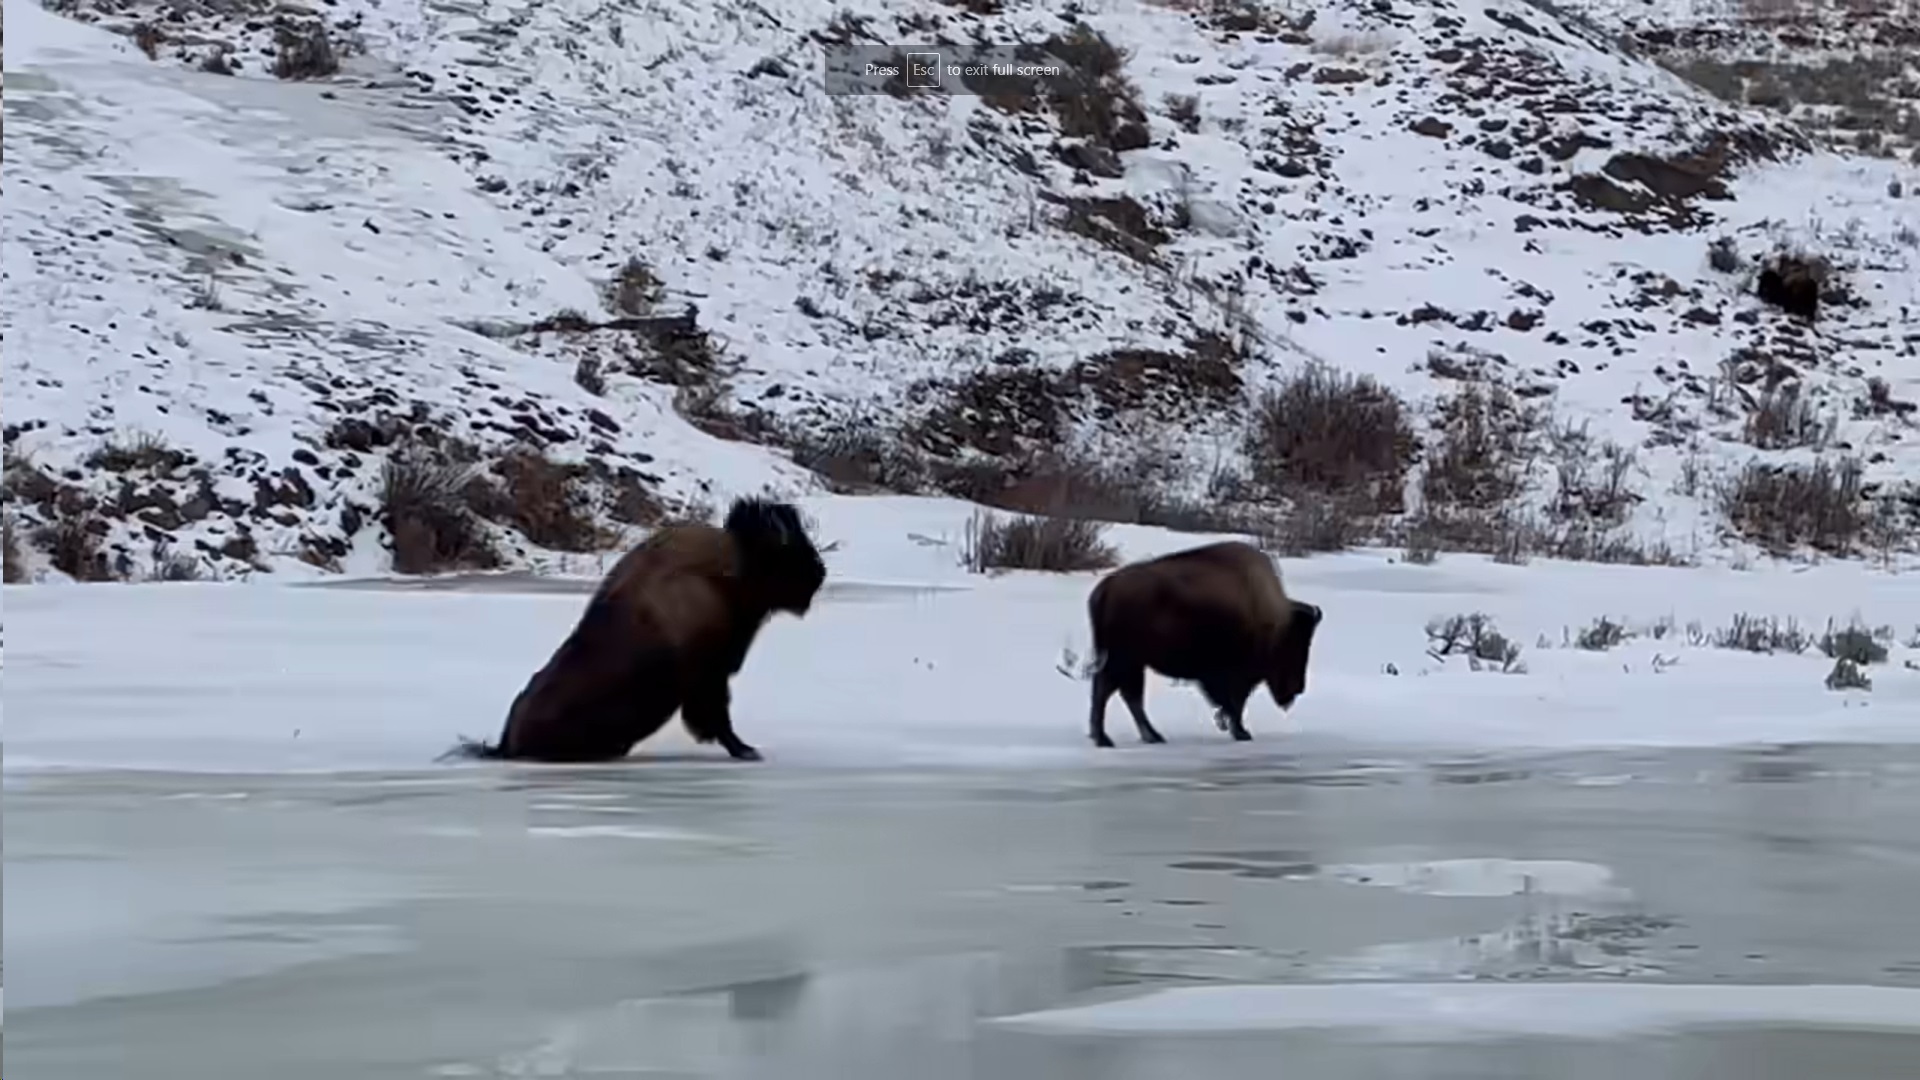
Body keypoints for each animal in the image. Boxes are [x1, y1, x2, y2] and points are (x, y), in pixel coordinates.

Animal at [445, 497, 827, 763]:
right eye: (790, 551)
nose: (819, 572)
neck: (732, 569)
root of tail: (505, 743)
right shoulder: (709, 677)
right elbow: (717, 718)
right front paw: (746, 751)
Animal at [1083, 540, 1321, 748]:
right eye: (1295, 644)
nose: (1298, 688)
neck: (1274, 621)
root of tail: (1106, 588)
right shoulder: (1235, 674)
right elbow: (1236, 702)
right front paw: (1241, 732)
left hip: (1130, 662)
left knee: (1121, 693)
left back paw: (1142, 736)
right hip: (1125, 660)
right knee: (1115, 692)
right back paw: (1111, 738)